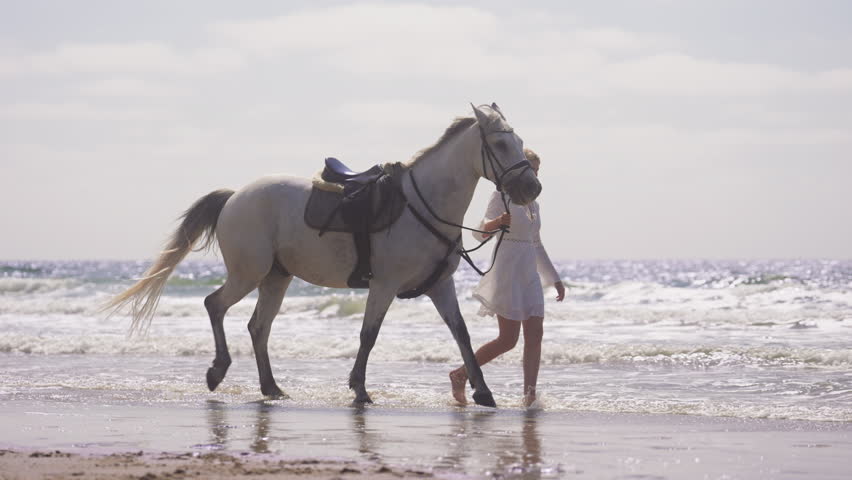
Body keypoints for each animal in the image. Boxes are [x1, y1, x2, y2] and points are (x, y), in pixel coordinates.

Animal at [105, 103, 541, 407]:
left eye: (518, 141)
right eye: (500, 144)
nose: (532, 188)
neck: (424, 203)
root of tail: (234, 197)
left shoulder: (440, 286)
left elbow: (461, 334)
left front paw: (483, 393)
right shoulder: (384, 285)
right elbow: (368, 335)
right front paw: (359, 389)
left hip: (276, 278)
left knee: (258, 327)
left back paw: (271, 387)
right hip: (249, 273)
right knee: (215, 305)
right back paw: (218, 370)